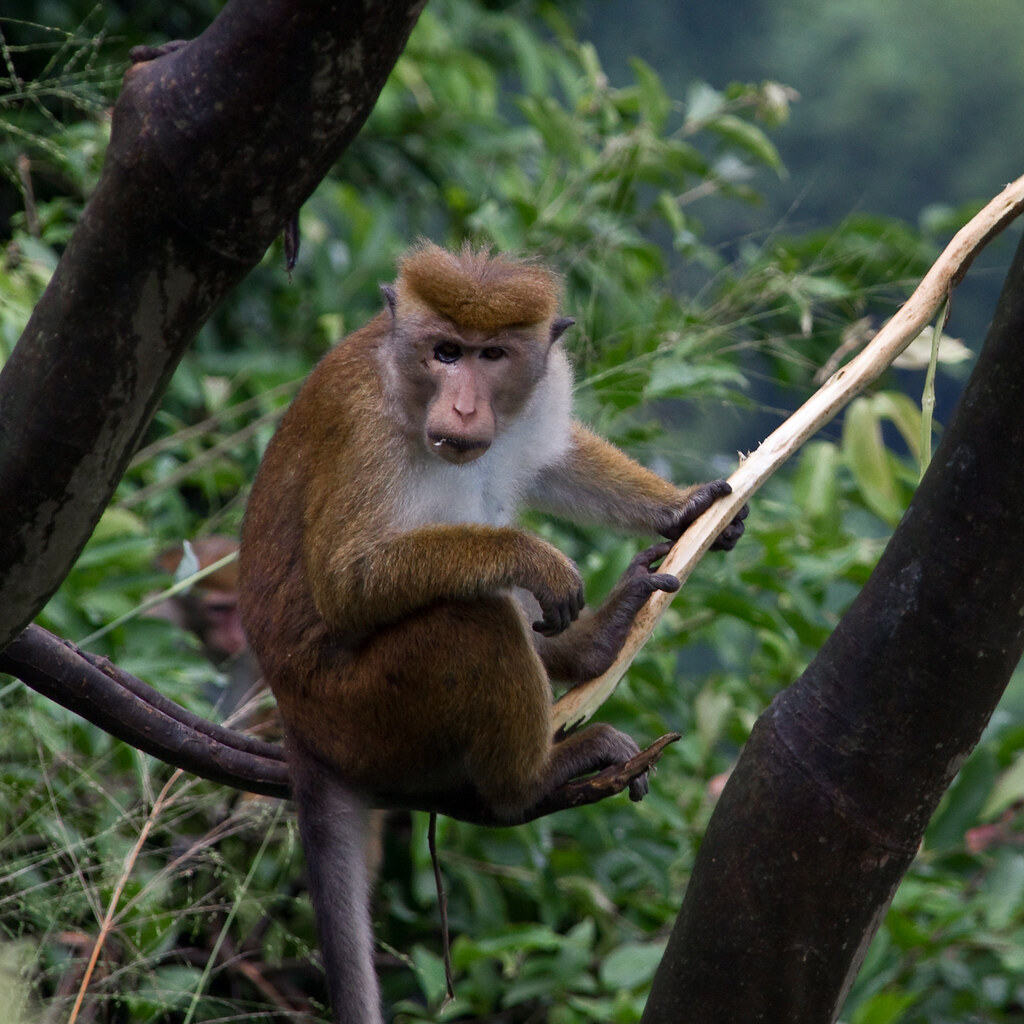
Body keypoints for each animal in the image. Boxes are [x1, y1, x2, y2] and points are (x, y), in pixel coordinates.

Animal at [237, 242, 746, 1023]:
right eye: (445, 352)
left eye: (492, 354)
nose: (465, 405)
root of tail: (298, 722)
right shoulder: (365, 428)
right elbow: (348, 582)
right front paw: (534, 557)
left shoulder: (541, 389)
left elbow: (555, 458)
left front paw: (679, 506)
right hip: (363, 710)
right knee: (470, 619)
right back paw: (532, 778)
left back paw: (585, 647)